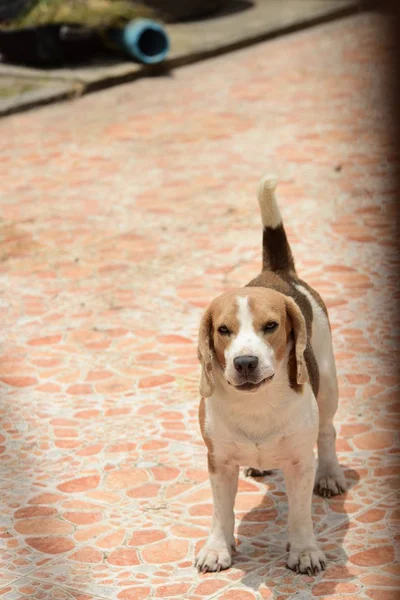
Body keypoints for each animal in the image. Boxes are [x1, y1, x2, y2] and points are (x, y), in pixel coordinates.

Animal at [195, 177, 346, 576]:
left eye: (271, 326)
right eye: (223, 330)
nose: (245, 362)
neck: (257, 403)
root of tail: (277, 272)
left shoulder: (300, 463)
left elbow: (301, 514)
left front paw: (305, 550)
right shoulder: (218, 461)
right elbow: (220, 511)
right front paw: (218, 548)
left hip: (329, 386)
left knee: (328, 432)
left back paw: (330, 474)